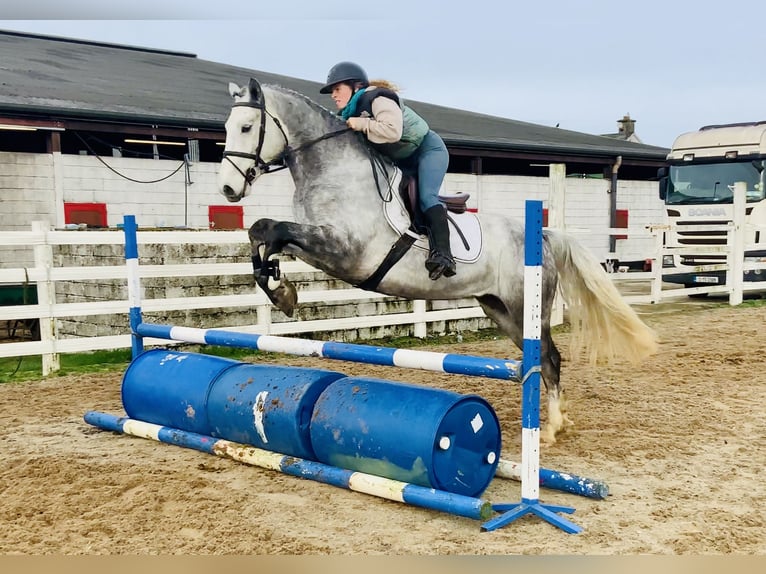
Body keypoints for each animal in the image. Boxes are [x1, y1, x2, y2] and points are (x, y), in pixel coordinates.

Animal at [217, 78, 658, 444]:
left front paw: (281, 290)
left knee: (549, 358)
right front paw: (279, 288)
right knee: (537, 359)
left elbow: (271, 229)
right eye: (225, 129)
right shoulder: (317, 242)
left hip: (526, 307)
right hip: (500, 310)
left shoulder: (346, 250)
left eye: (245, 128)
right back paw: (555, 419)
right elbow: (263, 233)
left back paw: (550, 429)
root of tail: (545, 237)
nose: (228, 189)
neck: (333, 170)